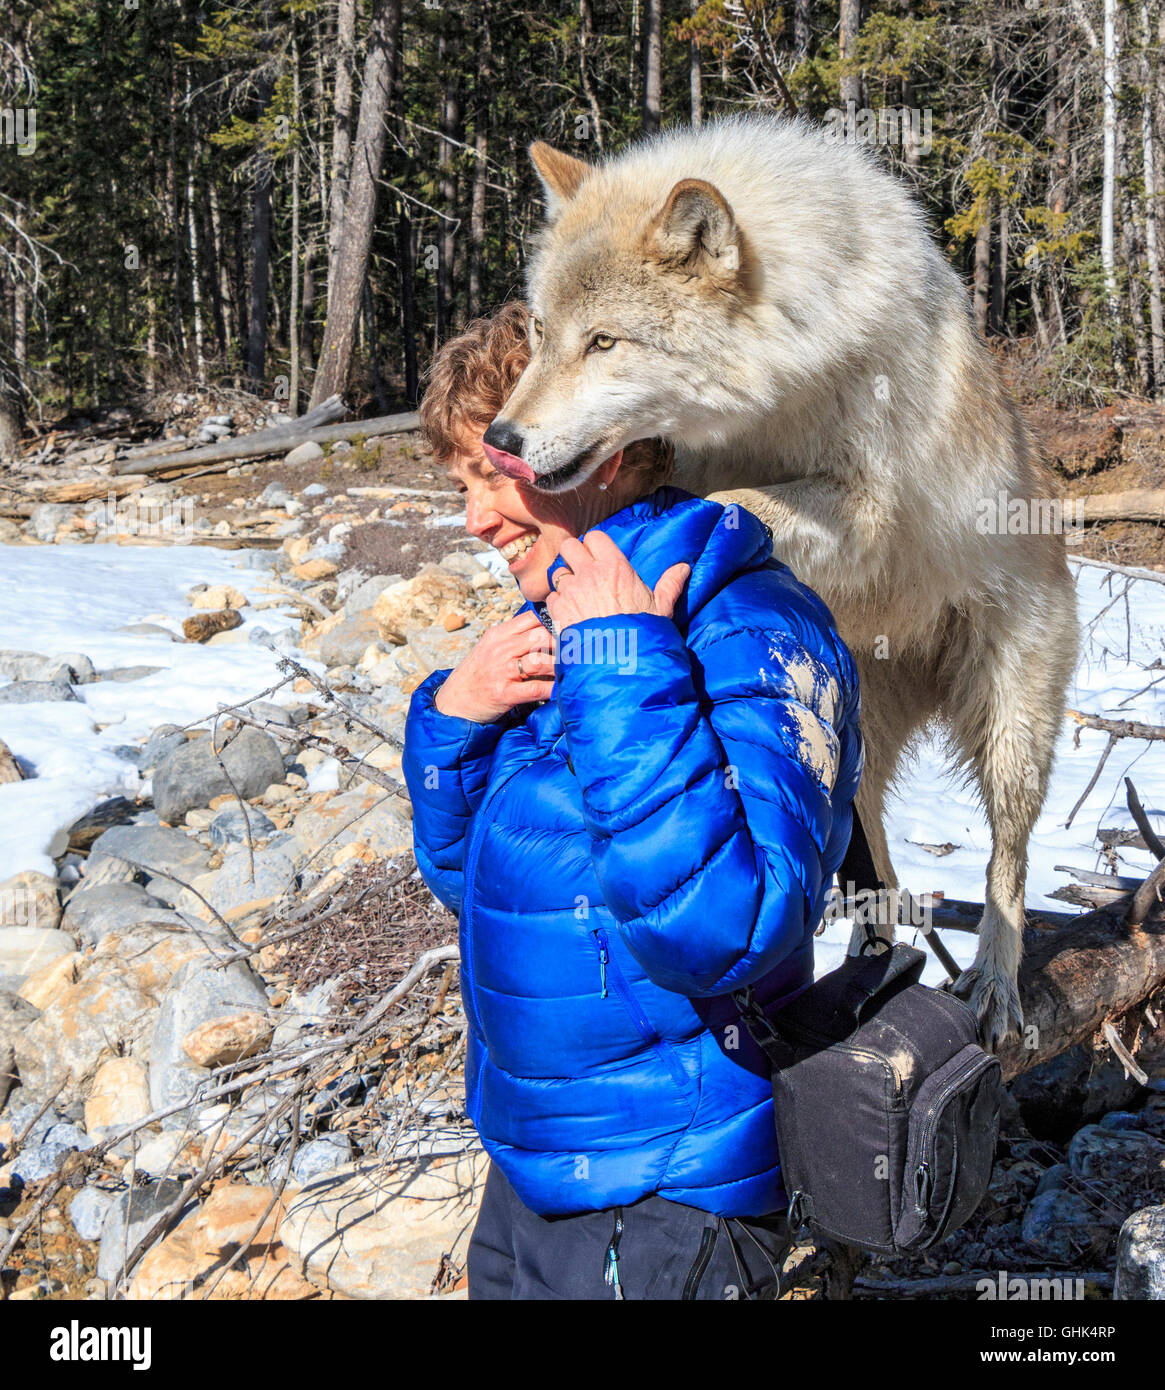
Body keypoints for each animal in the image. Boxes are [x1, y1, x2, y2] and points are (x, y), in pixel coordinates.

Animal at [482, 114, 1080, 1049]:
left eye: (604, 341)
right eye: (541, 333)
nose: (500, 440)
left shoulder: (862, 513)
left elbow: (721, 503)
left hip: (1013, 727)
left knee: (1006, 861)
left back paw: (992, 986)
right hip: (850, 749)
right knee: (870, 876)